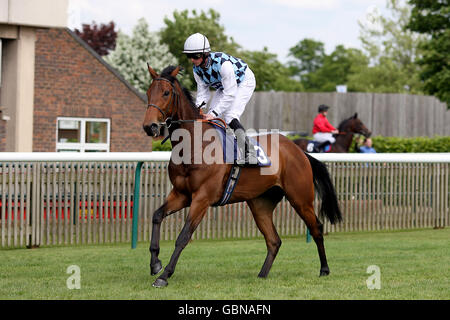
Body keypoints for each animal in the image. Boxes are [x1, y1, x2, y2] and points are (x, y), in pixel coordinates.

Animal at [141, 65, 342, 288]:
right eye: (148, 92)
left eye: (166, 93)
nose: (149, 126)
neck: (194, 146)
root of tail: (299, 151)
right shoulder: (181, 194)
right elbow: (157, 215)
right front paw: (155, 263)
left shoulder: (202, 198)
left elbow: (184, 236)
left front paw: (164, 275)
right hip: (260, 204)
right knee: (274, 240)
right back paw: (262, 275)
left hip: (300, 198)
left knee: (316, 228)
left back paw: (324, 269)